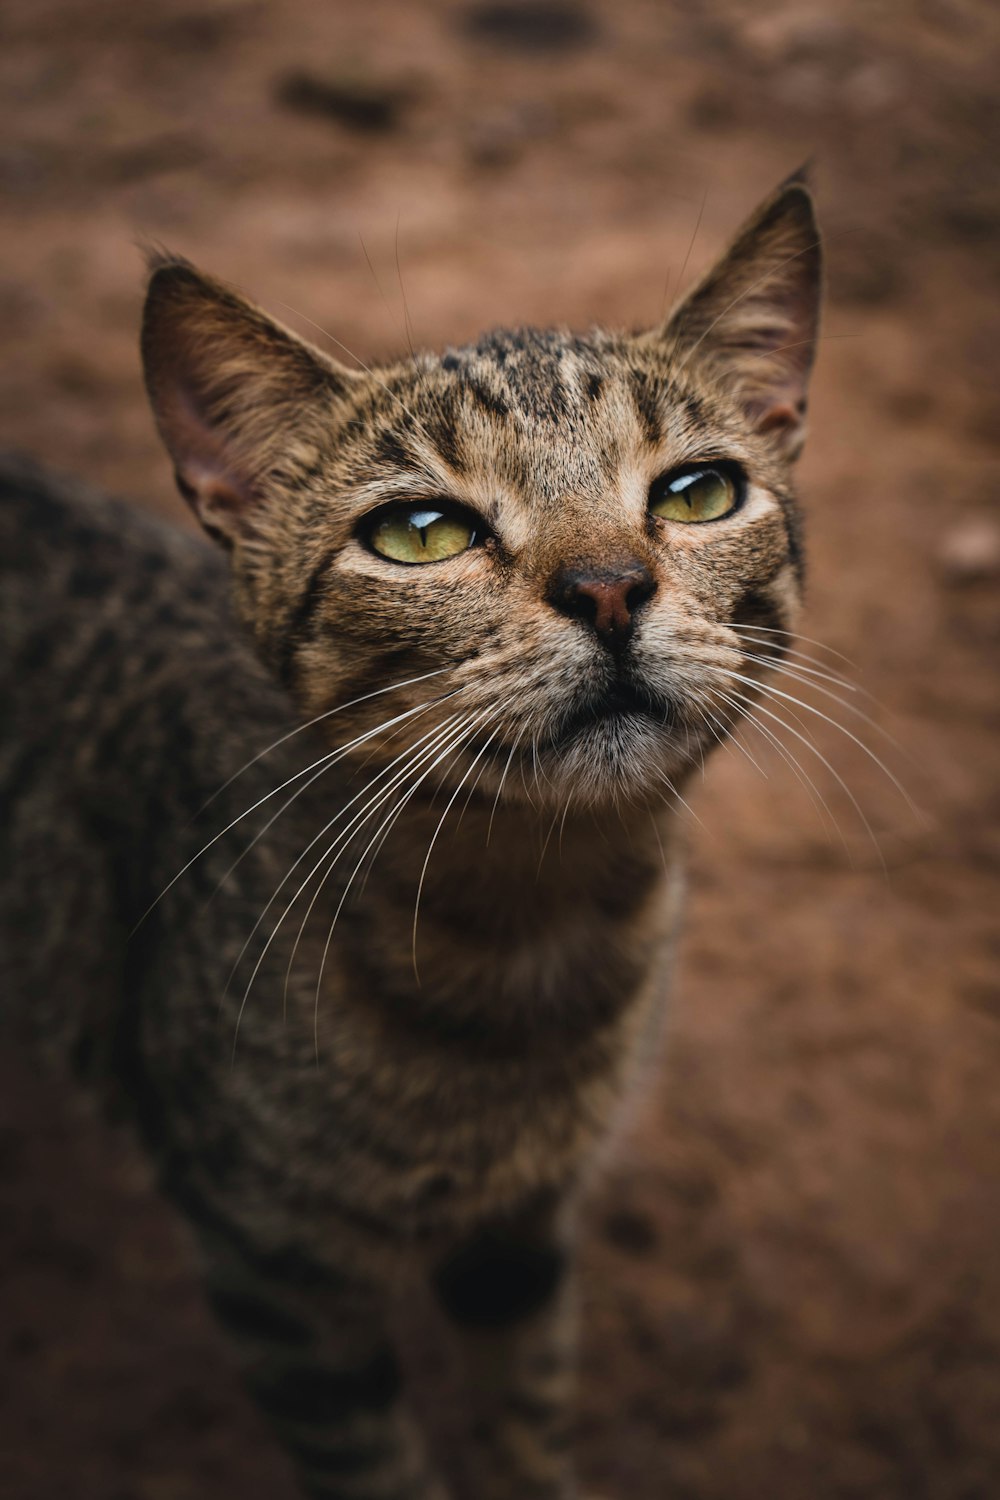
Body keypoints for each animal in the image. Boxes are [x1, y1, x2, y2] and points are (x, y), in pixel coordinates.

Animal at [0, 170, 821, 1494]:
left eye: (697, 492)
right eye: (420, 532)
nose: (608, 587)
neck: (528, 942)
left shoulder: (521, 1231)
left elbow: (527, 1419)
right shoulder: (271, 1272)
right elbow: (377, 1464)